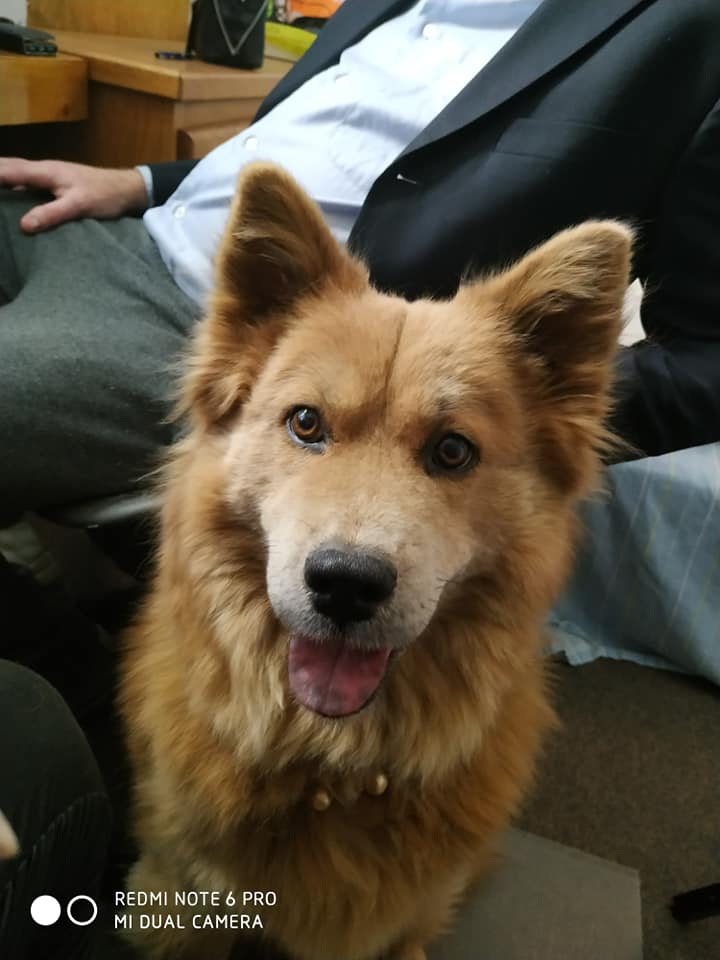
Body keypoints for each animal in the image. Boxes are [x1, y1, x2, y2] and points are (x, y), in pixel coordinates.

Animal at [121, 161, 632, 956]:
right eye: (306, 423)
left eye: (452, 451)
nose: (344, 585)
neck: (331, 768)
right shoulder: (179, 894)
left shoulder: (404, 919)